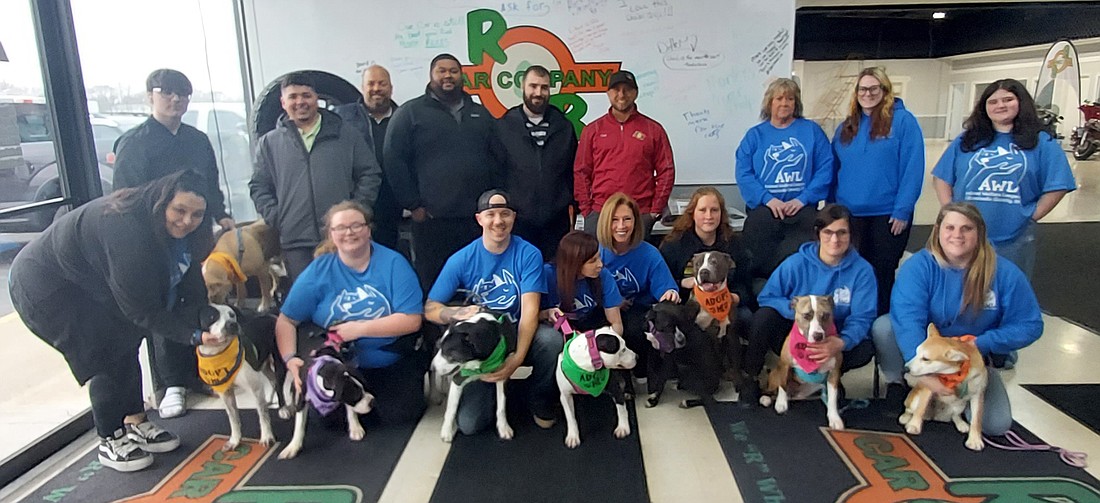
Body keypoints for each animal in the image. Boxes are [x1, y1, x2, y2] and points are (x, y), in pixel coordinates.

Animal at [196, 305, 286, 451]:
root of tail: (271, 315)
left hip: (279, 362)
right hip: (262, 365)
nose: (232, 324)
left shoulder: (255, 388)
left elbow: (263, 415)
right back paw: (270, 399)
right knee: (273, 380)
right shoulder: (226, 394)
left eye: (232, 315)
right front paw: (235, 440)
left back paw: (283, 408)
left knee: (279, 382)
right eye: (212, 317)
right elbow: (233, 418)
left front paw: (267, 437)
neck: (218, 353)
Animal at [277, 325, 376, 457]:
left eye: (365, 387)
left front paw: (355, 427)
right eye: (356, 396)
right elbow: (299, 426)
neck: (327, 372)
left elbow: (351, 411)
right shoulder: (302, 397)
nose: (372, 401)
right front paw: (293, 446)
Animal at [761, 294, 844, 429]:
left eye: (825, 315)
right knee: (772, 390)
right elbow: (782, 386)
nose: (818, 336)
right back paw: (766, 398)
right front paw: (781, 403)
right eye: (806, 315)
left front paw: (834, 418)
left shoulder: (834, 372)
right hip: (774, 374)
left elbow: (832, 398)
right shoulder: (785, 365)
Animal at [902, 323, 990, 453]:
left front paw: (974, 440)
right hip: (914, 400)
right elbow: (920, 409)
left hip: (959, 405)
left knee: (955, 415)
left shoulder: (978, 394)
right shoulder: (929, 386)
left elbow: (976, 420)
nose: (906, 368)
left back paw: (961, 423)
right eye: (916, 352)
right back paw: (905, 417)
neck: (957, 373)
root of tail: (937, 417)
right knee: (910, 410)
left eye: (926, 359)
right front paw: (914, 425)